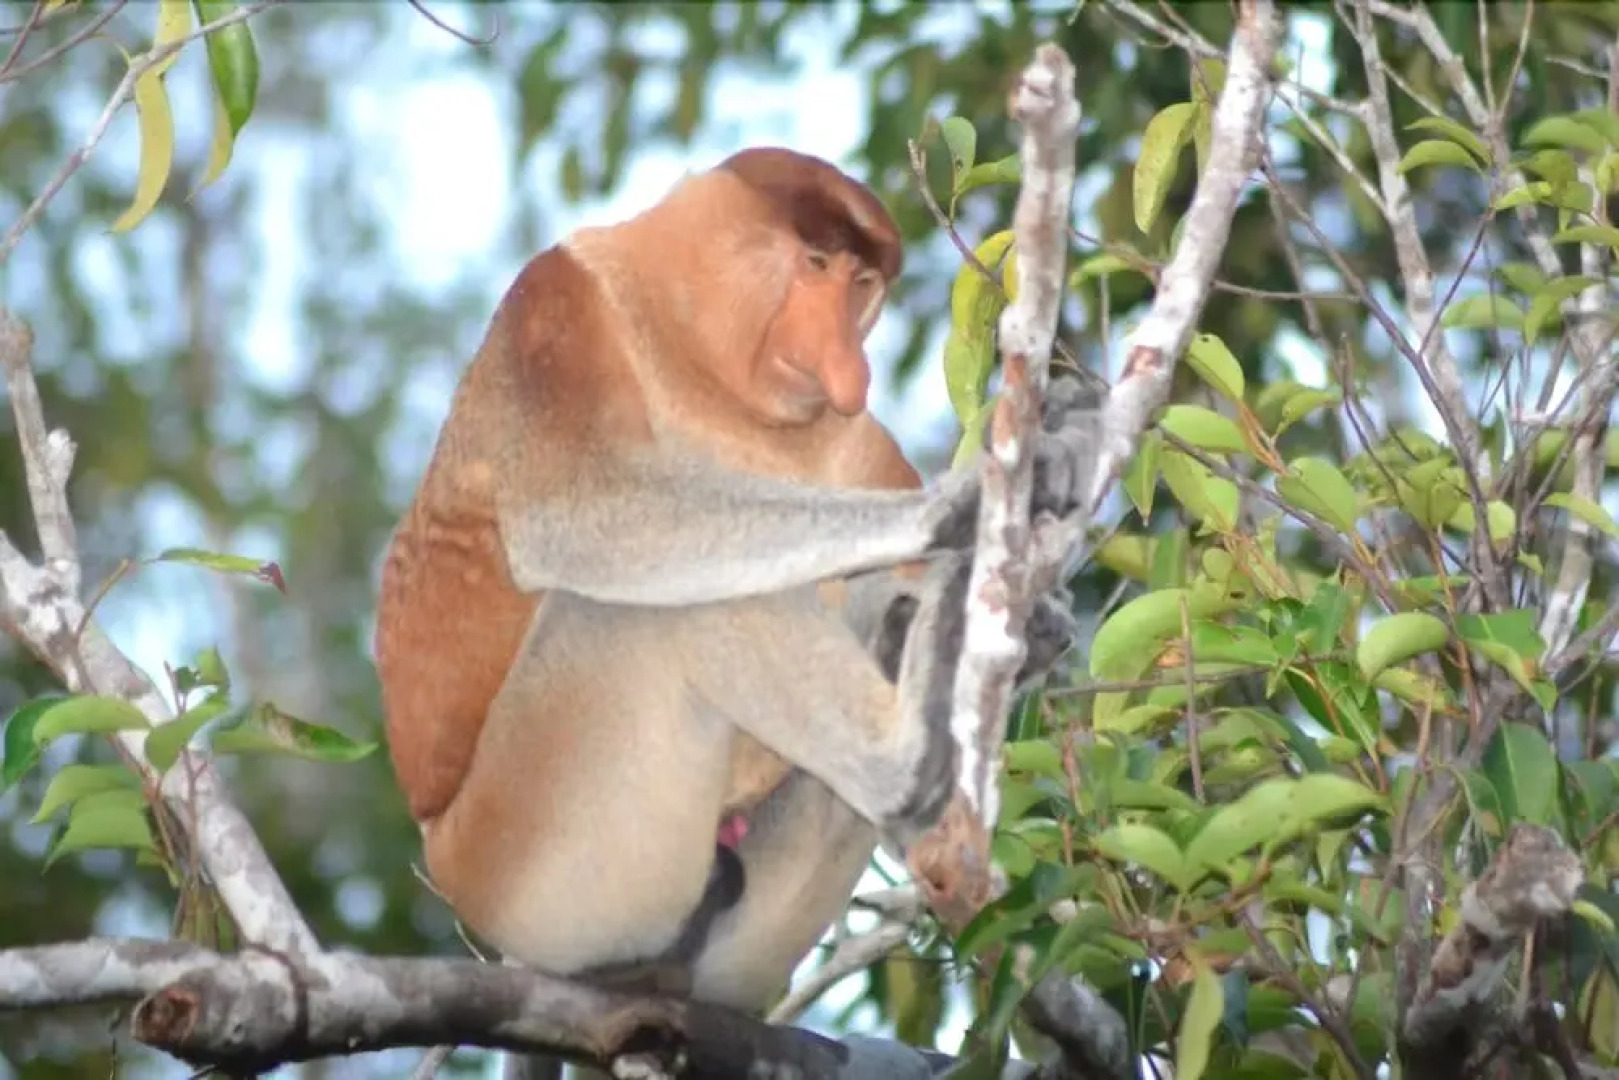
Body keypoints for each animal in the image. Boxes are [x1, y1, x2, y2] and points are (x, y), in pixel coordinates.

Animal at [373, 146, 1095, 1074]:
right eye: (814, 264)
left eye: (861, 282)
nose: (843, 364)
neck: (699, 360)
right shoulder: (554, 310)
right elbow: (585, 508)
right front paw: (964, 503)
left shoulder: (855, 440)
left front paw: (1039, 608)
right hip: (533, 868)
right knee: (643, 605)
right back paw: (911, 737)